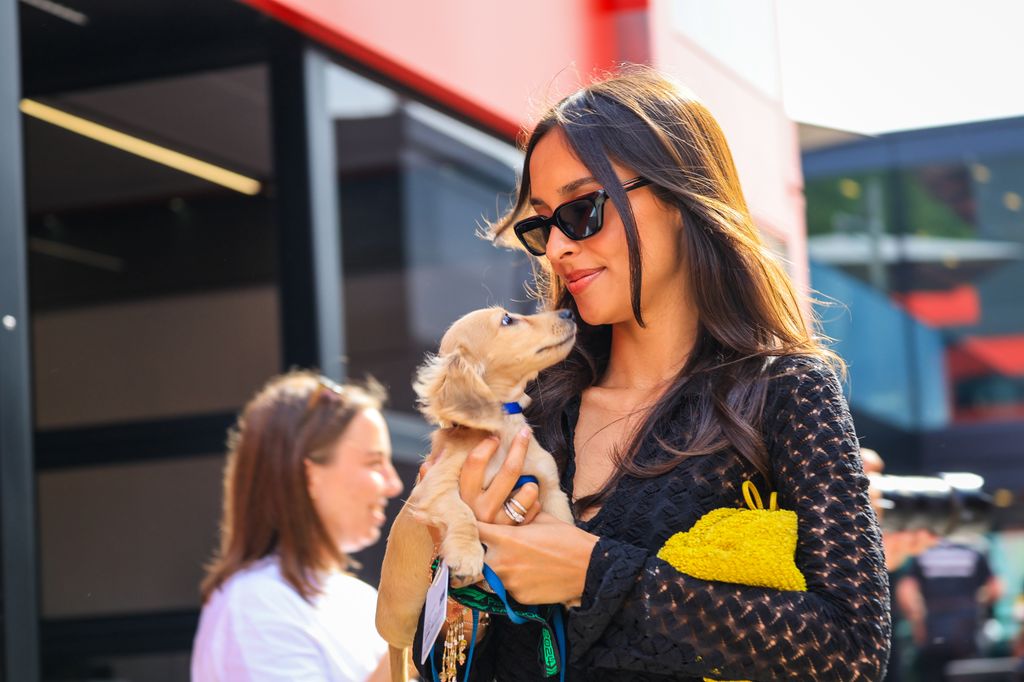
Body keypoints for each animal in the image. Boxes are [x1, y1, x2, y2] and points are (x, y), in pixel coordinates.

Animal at [376, 305, 581, 675]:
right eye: (507, 320)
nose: (568, 312)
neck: (502, 431)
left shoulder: (549, 486)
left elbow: (563, 523)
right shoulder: (434, 488)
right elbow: (463, 513)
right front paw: (467, 554)